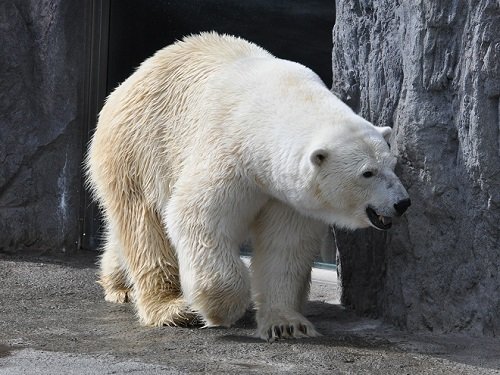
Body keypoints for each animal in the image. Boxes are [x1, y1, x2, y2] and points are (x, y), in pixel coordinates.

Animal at [87, 32, 410, 342]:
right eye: (367, 173)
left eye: (391, 164)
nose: (402, 203)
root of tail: (130, 80)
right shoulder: (229, 152)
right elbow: (198, 217)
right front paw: (220, 308)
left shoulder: (287, 194)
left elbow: (285, 244)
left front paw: (286, 324)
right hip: (141, 150)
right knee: (145, 226)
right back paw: (171, 307)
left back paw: (118, 284)